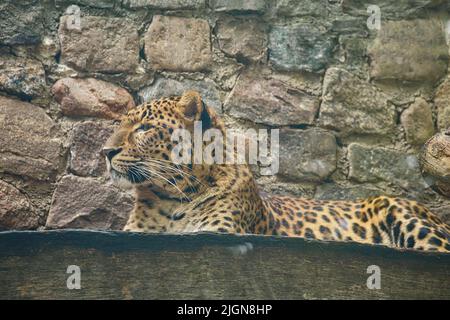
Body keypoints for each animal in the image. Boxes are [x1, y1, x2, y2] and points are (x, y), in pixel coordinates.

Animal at [103, 89, 450, 252]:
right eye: (120, 125)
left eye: (144, 128)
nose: (105, 152)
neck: (171, 197)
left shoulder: (220, 232)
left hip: (404, 215)